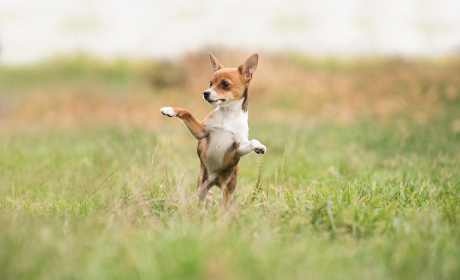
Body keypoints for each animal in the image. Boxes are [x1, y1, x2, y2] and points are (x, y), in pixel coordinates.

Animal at [160, 53, 266, 206]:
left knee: (221, 201)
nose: (206, 93)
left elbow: (251, 141)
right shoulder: (201, 131)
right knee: (206, 195)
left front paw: (259, 146)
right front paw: (170, 110)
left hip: (227, 190)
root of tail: (214, 182)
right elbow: (187, 112)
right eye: (210, 83)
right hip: (202, 185)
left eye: (225, 84)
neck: (228, 115)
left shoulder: (238, 146)